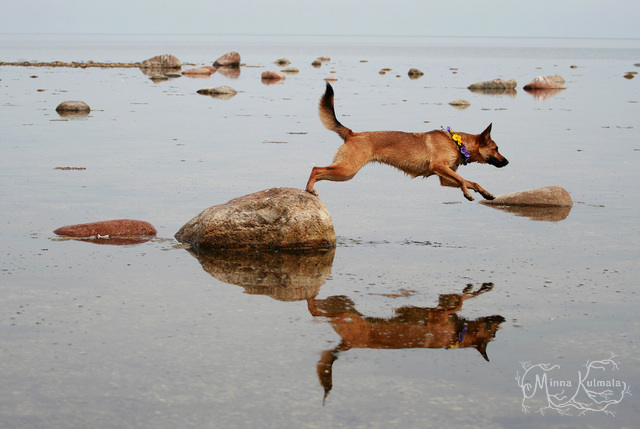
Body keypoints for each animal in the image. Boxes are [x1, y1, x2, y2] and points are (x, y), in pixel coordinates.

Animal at [304, 83, 510, 201]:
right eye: (496, 148)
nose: (507, 162)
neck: (458, 143)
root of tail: (352, 134)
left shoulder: (445, 178)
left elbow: (471, 181)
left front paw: (485, 193)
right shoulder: (440, 166)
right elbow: (462, 180)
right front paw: (467, 193)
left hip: (345, 173)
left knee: (320, 172)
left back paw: (310, 190)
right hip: (347, 169)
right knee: (316, 169)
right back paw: (310, 188)